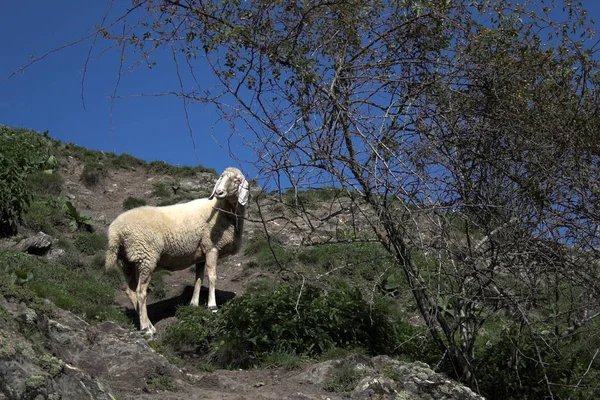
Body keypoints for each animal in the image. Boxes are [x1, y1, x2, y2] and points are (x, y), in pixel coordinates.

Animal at [105, 166, 248, 334]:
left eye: (237, 180)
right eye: (221, 177)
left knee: (131, 291)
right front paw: (212, 306)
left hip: (127, 261)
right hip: (146, 256)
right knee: (141, 292)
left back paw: (148, 324)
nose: (219, 192)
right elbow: (212, 277)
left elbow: (198, 280)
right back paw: (146, 328)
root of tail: (115, 232)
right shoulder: (211, 246)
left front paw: (194, 304)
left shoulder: (200, 253)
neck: (224, 210)